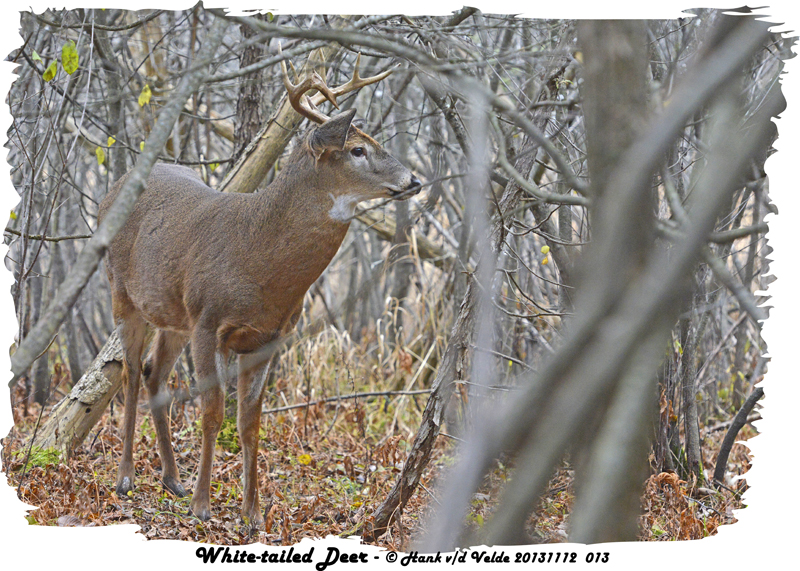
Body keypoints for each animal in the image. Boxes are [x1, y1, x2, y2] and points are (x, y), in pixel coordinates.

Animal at [97, 58, 422, 528]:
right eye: (358, 149)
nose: (414, 180)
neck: (260, 264)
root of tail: (112, 190)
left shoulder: (269, 338)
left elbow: (250, 421)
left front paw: (251, 513)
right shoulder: (209, 321)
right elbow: (213, 412)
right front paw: (203, 505)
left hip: (173, 315)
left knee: (153, 373)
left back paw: (172, 480)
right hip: (123, 293)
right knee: (130, 374)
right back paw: (126, 479)